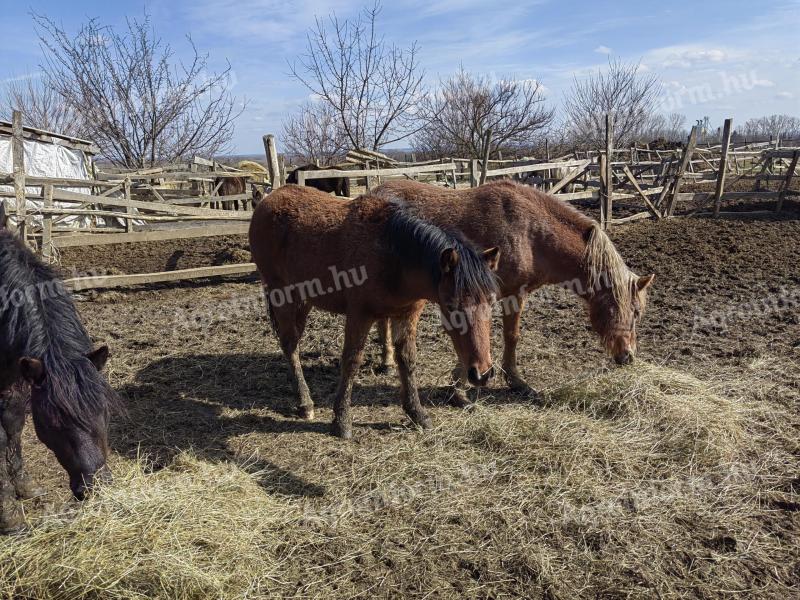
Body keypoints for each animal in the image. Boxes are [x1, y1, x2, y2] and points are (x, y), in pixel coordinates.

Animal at [0, 204, 119, 532]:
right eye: (54, 423)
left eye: (105, 412)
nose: (95, 488)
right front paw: (8, 514)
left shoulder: (15, 378)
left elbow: (13, 427)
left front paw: (23, 486)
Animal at [250, 185, 500, 438]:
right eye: (451, 306)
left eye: (491, 302)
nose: (482, 374)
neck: (393, 256)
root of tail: (269, 199)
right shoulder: (360, 315)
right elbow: (351, 361)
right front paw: (342, 421)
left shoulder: (406, 314)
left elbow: (407, 360)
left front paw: (417, 413)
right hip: (284, 296)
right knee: (290, 344)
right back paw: (305, 403)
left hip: (304, 299)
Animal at [372, 179, 652, 404]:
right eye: (636, 312)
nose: (628, 356)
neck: (531, 232)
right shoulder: (511, 294)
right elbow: (509, 336)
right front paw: (507, 382)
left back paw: (387, 361)